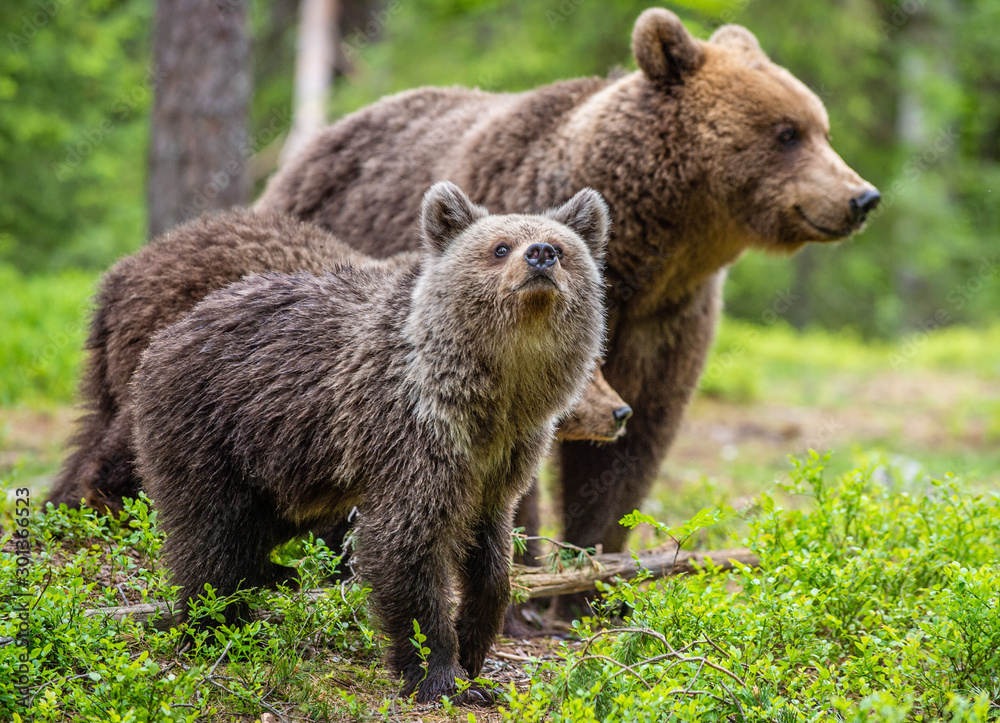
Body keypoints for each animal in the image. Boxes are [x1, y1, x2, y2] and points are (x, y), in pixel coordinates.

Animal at [130, 182, 610, 703]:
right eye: (500, 247)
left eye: (561, 248)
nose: (540, 255)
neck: (494, 391)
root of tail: (167, 335)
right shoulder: (410, 432)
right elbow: (405, 545)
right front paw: (439, 673)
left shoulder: (503, 456)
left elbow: (491, 552)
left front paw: (475, 646)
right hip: (213, 430)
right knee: (213, 537)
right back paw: (220, 625)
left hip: (287, 468)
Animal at [255, 8, 881, 613]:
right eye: (787, 132)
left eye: (821, 126)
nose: (862, 196)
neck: (648, 254)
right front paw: (524, 579)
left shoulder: (668, 317)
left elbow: (634, 440)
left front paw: (593, 584)